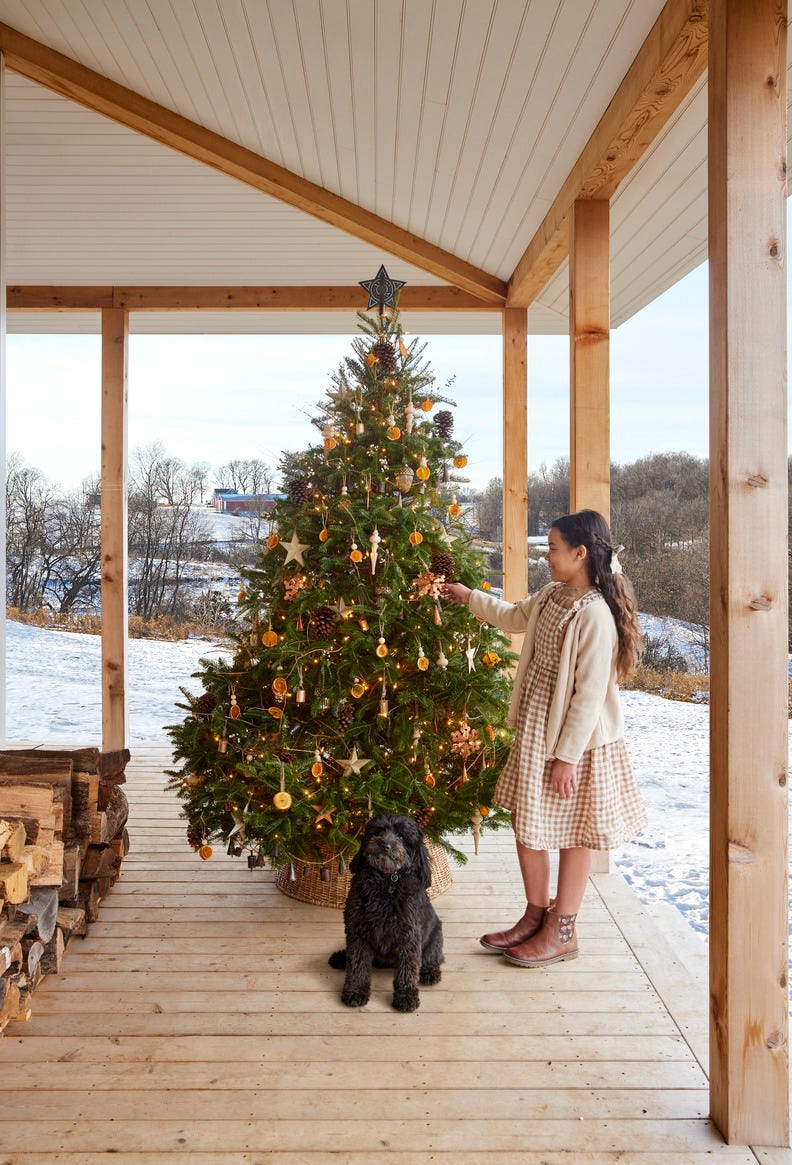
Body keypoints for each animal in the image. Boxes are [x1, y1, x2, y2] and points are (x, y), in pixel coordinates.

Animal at [328, 810, 444, 1011]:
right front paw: (355, 991)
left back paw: (430, 972)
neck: (386, 880)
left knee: (432, 957)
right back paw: (341, 957)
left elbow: (407, 970)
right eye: (378, 832)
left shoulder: (408, 936)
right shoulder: (358, 932)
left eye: (402, 836)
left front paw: (406, 996)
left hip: (435, 936)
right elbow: (357, 965)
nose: (385, 845)